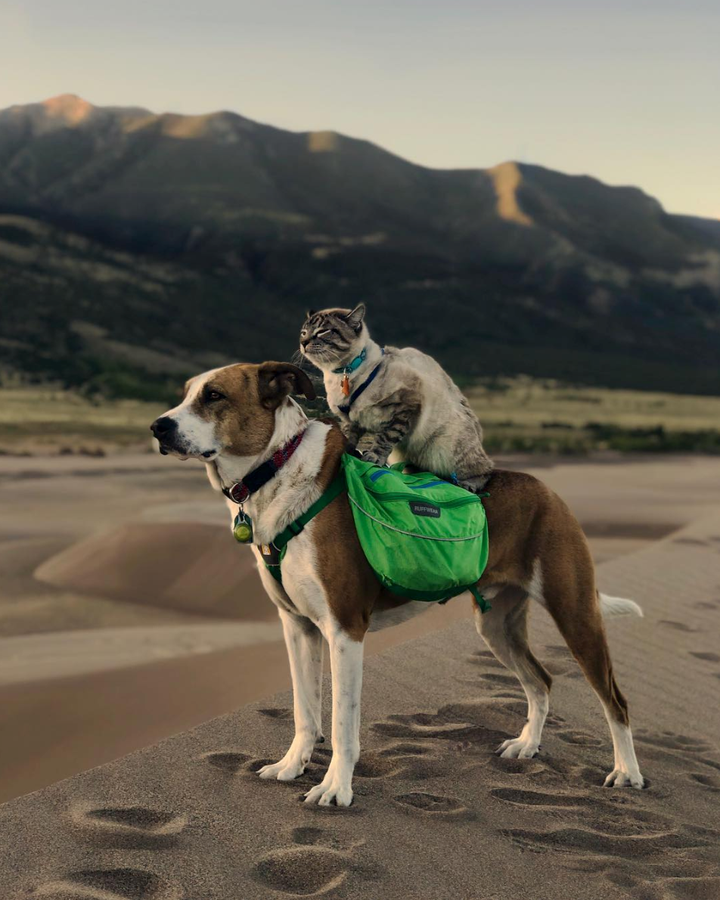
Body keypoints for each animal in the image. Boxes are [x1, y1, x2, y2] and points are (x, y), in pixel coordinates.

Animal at [152, 362, 648, 804]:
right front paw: (292, 767)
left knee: (615, 700)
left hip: (575, 612)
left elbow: (341, 725)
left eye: (214, 395)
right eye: (184, 393)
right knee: (540, 680)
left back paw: (627, 772)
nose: (158, 427)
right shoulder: (297, 627)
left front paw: (335, 789)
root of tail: (549, 491)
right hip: (496, 625)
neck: (275, 470)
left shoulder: (345, 630)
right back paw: (527, 745)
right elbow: (304, 713)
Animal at [300, 304, 496, 492]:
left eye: (322, 331)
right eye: (304, 332)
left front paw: (373, 456)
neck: (340, 374)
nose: (303, 342)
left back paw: (469, 484)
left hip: (446, 448)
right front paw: (347, 451)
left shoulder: (406, 406)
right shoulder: (351, 419)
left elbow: (385, 438)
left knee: (486, 468)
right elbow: (348, 438)